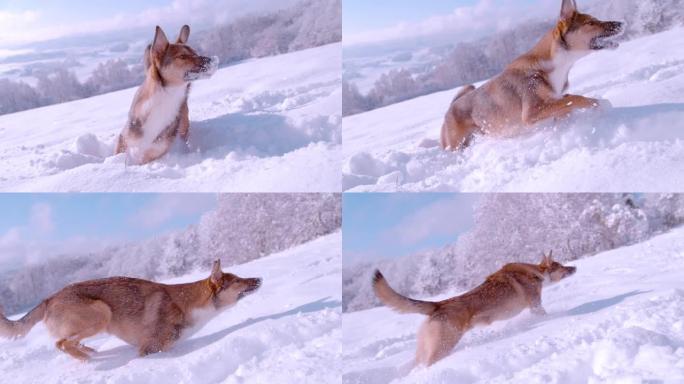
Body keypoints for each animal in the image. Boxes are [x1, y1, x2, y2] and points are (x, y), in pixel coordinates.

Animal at [0, 260, 260, 362]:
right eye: (238, 281)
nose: (259, 278)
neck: (189, 304)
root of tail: (49, 297)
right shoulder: (149, 349)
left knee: (69, 342)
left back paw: (89, 352)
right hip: (101, 312)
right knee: (61, 343)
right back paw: (85, 358)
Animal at [114, 25, 216, 164]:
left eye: (195, 52)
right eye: (182, 56)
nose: (211, 60)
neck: (165, 97)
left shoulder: (159, 147)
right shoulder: (125, 137)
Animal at [374, 252, 576, 366]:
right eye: (561, 266)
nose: (574, 267)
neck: (536, 273)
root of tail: (439, 304)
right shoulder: (536, 306)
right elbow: (544, 315)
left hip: (424, 349)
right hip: (444, 345)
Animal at [440, 0, 624, 150]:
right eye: (591, 23)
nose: (621, 23)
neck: (555, 65)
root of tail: (450, 108)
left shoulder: (551, 105)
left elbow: (567, 102)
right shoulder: (531, 112)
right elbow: (575, 98)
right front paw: (601, 104)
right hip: (457, 145)